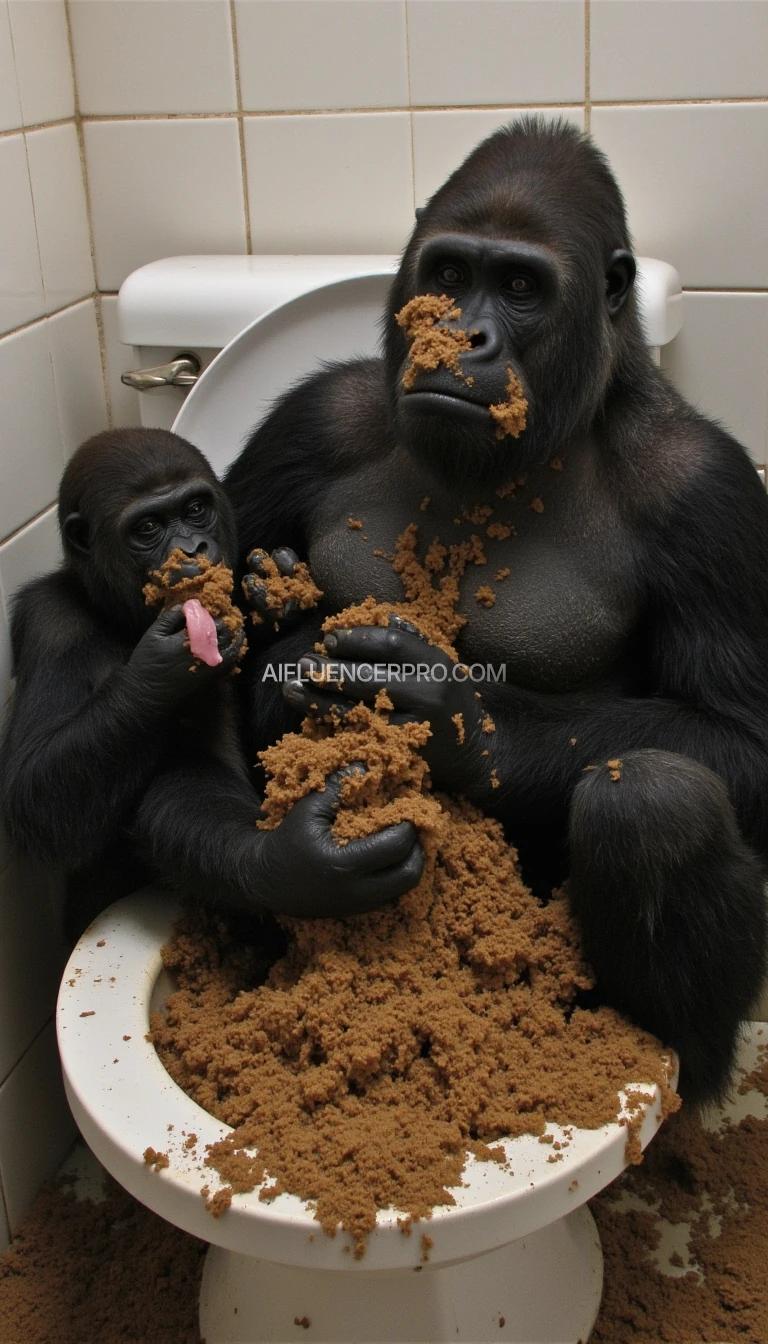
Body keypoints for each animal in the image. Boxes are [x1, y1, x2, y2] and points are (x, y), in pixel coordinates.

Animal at [0, 430, 425, 935]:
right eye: (147, 528)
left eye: (196, 509)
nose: (192, 549)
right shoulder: (49, 624)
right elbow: (35, 794)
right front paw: (296, 865)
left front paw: (282, 598)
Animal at [225, 118, 768, 1102]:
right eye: (446, 274)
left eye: (519, 287)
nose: (458, 335)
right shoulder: (314, 418)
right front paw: (286, 637)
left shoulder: (706, 491)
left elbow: (740, 736)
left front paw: (455, 719)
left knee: (654, 800)